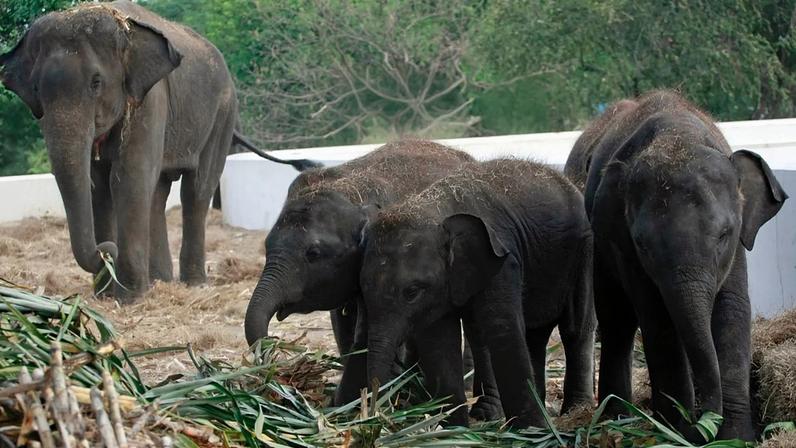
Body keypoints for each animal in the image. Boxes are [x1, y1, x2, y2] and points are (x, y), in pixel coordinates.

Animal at [0, 1, 317, 300]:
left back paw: (192, 284)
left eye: (96, 83)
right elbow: (98, 186)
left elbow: (129, 177)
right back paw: (160, 281)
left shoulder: (151, 98)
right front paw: (106, 296)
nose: (106, 251)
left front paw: (130, 297)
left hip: (223, 114)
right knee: (158, 192)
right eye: (36, 89)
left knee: (196, 190)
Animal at [243, 139, 487, 407]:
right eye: (266, 245)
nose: (272, 360)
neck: (351, 188)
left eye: (313, 253)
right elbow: (343, 323)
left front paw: (345, 405)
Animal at [359, 159, 596, 428]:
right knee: (531, 333)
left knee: (575, 328)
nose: (377, 415)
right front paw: (454, 429)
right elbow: (439, 343)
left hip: (584, 251)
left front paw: (532, 431)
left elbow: (503, 330)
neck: (434, 208)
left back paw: (575, 412)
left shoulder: (503, 262)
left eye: (411, 292)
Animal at [565, 90, 787, 441]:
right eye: (642, 243)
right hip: (598, 251)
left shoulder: (738, 247)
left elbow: (732, 309)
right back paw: (616, 418)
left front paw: (735, 439)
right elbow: (658, 317)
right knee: (617, 320)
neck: (678, 133)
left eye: (724, 234)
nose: (701, 422)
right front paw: (676, 431)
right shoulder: (623, 245)